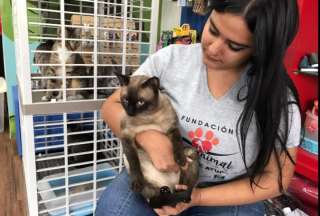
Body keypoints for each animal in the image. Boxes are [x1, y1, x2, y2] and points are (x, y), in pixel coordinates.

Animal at [116, 74, 199, 208]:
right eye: (126, 100)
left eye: (140, 102)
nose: (130, 112)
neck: (148, 116)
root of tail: (170, 185)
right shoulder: (127, 138)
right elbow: (134, 163)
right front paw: (136, 183)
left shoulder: (172, 129)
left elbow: (177, 143)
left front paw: (179, 159)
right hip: (130, 165)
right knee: (154, 199)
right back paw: (164, 191)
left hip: (191, 154)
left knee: (186, 189)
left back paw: (181, 196)